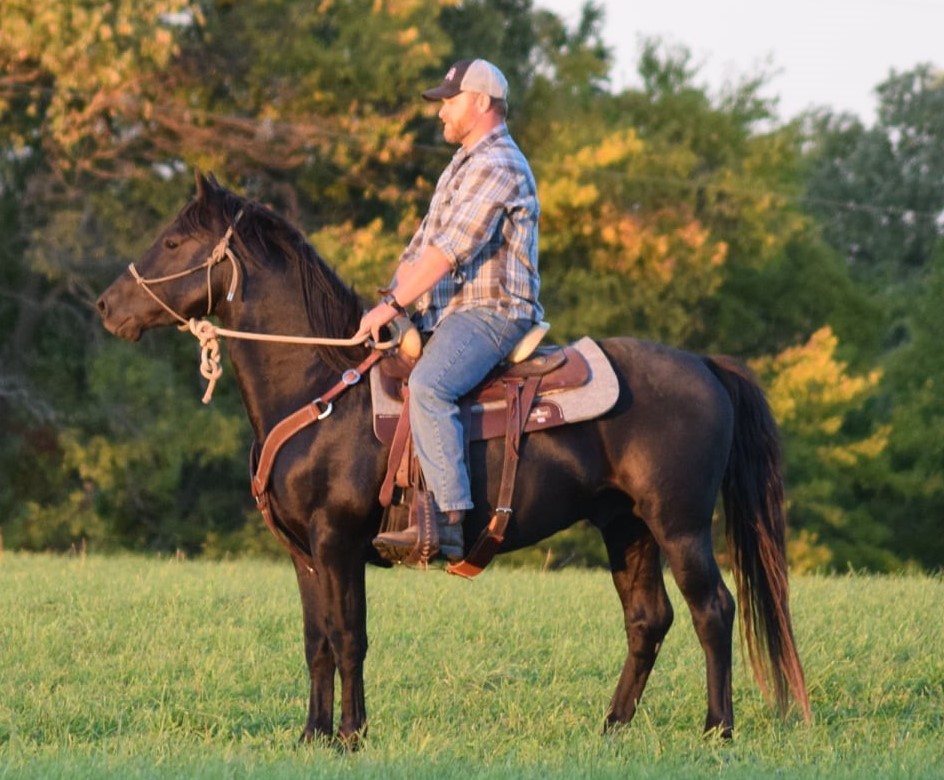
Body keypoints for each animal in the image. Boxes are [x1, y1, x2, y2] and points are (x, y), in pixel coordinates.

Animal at [96, 172, 811, 745]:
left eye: (173, 243)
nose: (106, 306)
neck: (320, 389)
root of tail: (705, 366)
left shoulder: (337, 539)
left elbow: (349, 636)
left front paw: (350, 736)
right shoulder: (304, 553)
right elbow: (316, 641)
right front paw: (312, 734)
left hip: (680, 524)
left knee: (712, 610)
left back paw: (717, 730)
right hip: (626, 526)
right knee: (648, 620)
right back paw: (612, 727)